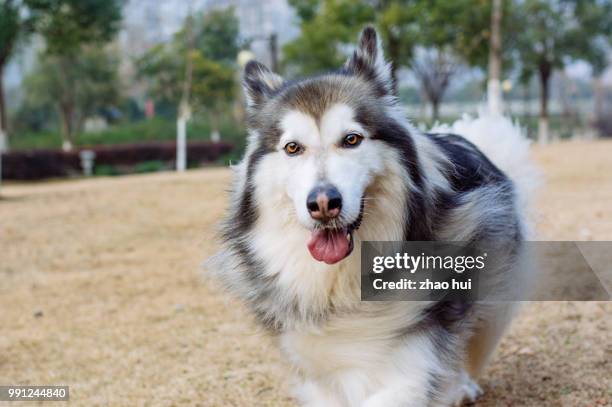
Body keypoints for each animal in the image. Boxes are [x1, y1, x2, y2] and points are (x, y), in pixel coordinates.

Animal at [210, 27, 536, 406]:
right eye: (292, 148)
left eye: (351, 139)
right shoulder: (316, 370)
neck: (342, 287)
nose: (324, 203)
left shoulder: (413, 364)